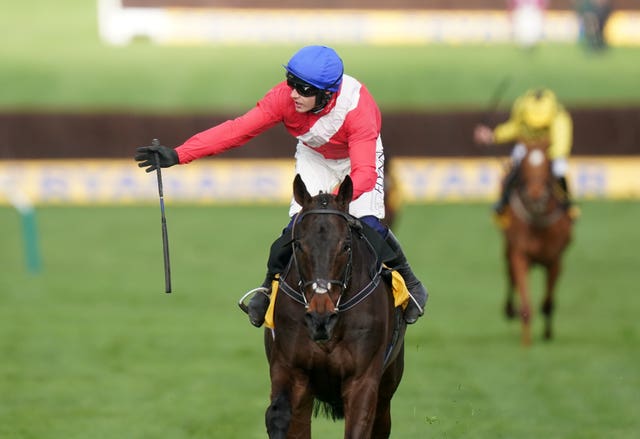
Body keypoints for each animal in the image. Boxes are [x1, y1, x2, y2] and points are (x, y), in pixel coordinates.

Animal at [264, 175, 404, 439]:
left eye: (346, 246)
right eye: (298, 245)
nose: (321, 318)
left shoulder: (363, 379)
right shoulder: (291, 370)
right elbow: (279, 417)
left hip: (388, 385)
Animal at [502, 141, 572, 348]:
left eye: (547, 165)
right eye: (524, 165)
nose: (535, 195)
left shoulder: (555, 260)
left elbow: (548, 302)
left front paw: (547, 334)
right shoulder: (520, 255)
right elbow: (526, 302)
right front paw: (526, 342)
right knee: (510, 275)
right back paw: (510, 310)